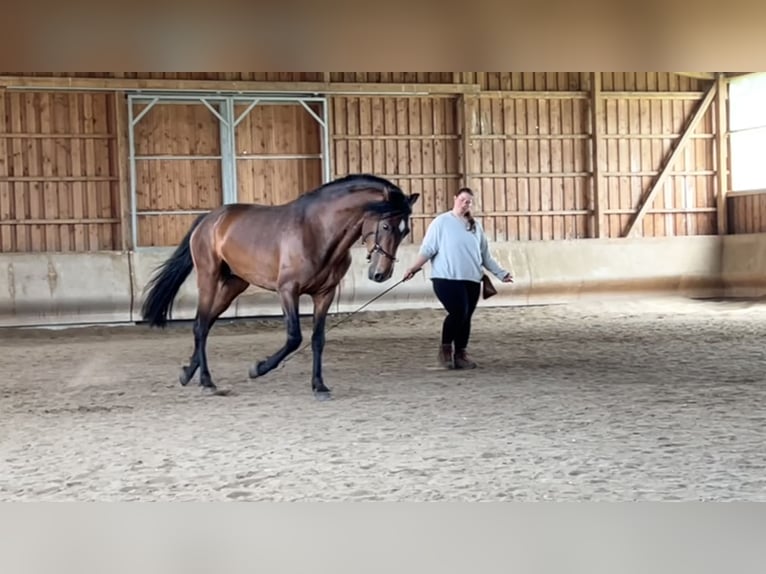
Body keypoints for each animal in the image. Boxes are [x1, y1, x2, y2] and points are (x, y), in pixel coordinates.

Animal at [139, 173, 420, 400]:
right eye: (386, 225)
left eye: (405, 231)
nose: (381, 274)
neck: (317, 231)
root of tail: (209, 219)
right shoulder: (288, 290)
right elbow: (294, 337)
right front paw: (257, 368)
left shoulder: (324, 294)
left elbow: (318, 339)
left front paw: (319, 386)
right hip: (208, 277)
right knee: (199, 325)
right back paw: (206, 382)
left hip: (234, 285)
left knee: (206, 324)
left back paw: (188, 374)